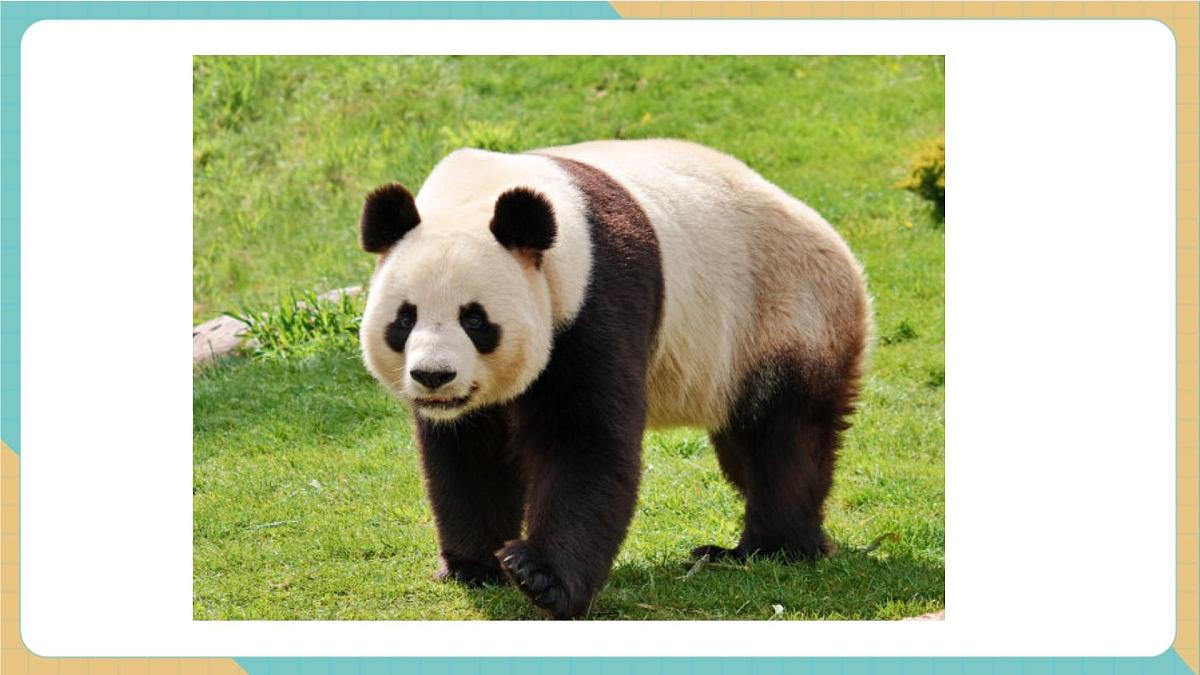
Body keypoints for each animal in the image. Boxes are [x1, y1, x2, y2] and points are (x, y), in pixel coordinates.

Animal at [357, 139, 871, 619]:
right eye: (404, 319)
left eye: (475, 320)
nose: (433, 376)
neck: (480, 194)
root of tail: (844, 254)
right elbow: (471, 453)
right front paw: (474, 566)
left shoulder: (596, 296)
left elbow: (585, 438)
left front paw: (539, 575)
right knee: (743, 448)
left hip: (781, 312)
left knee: (783, 439)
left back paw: (775, 548)